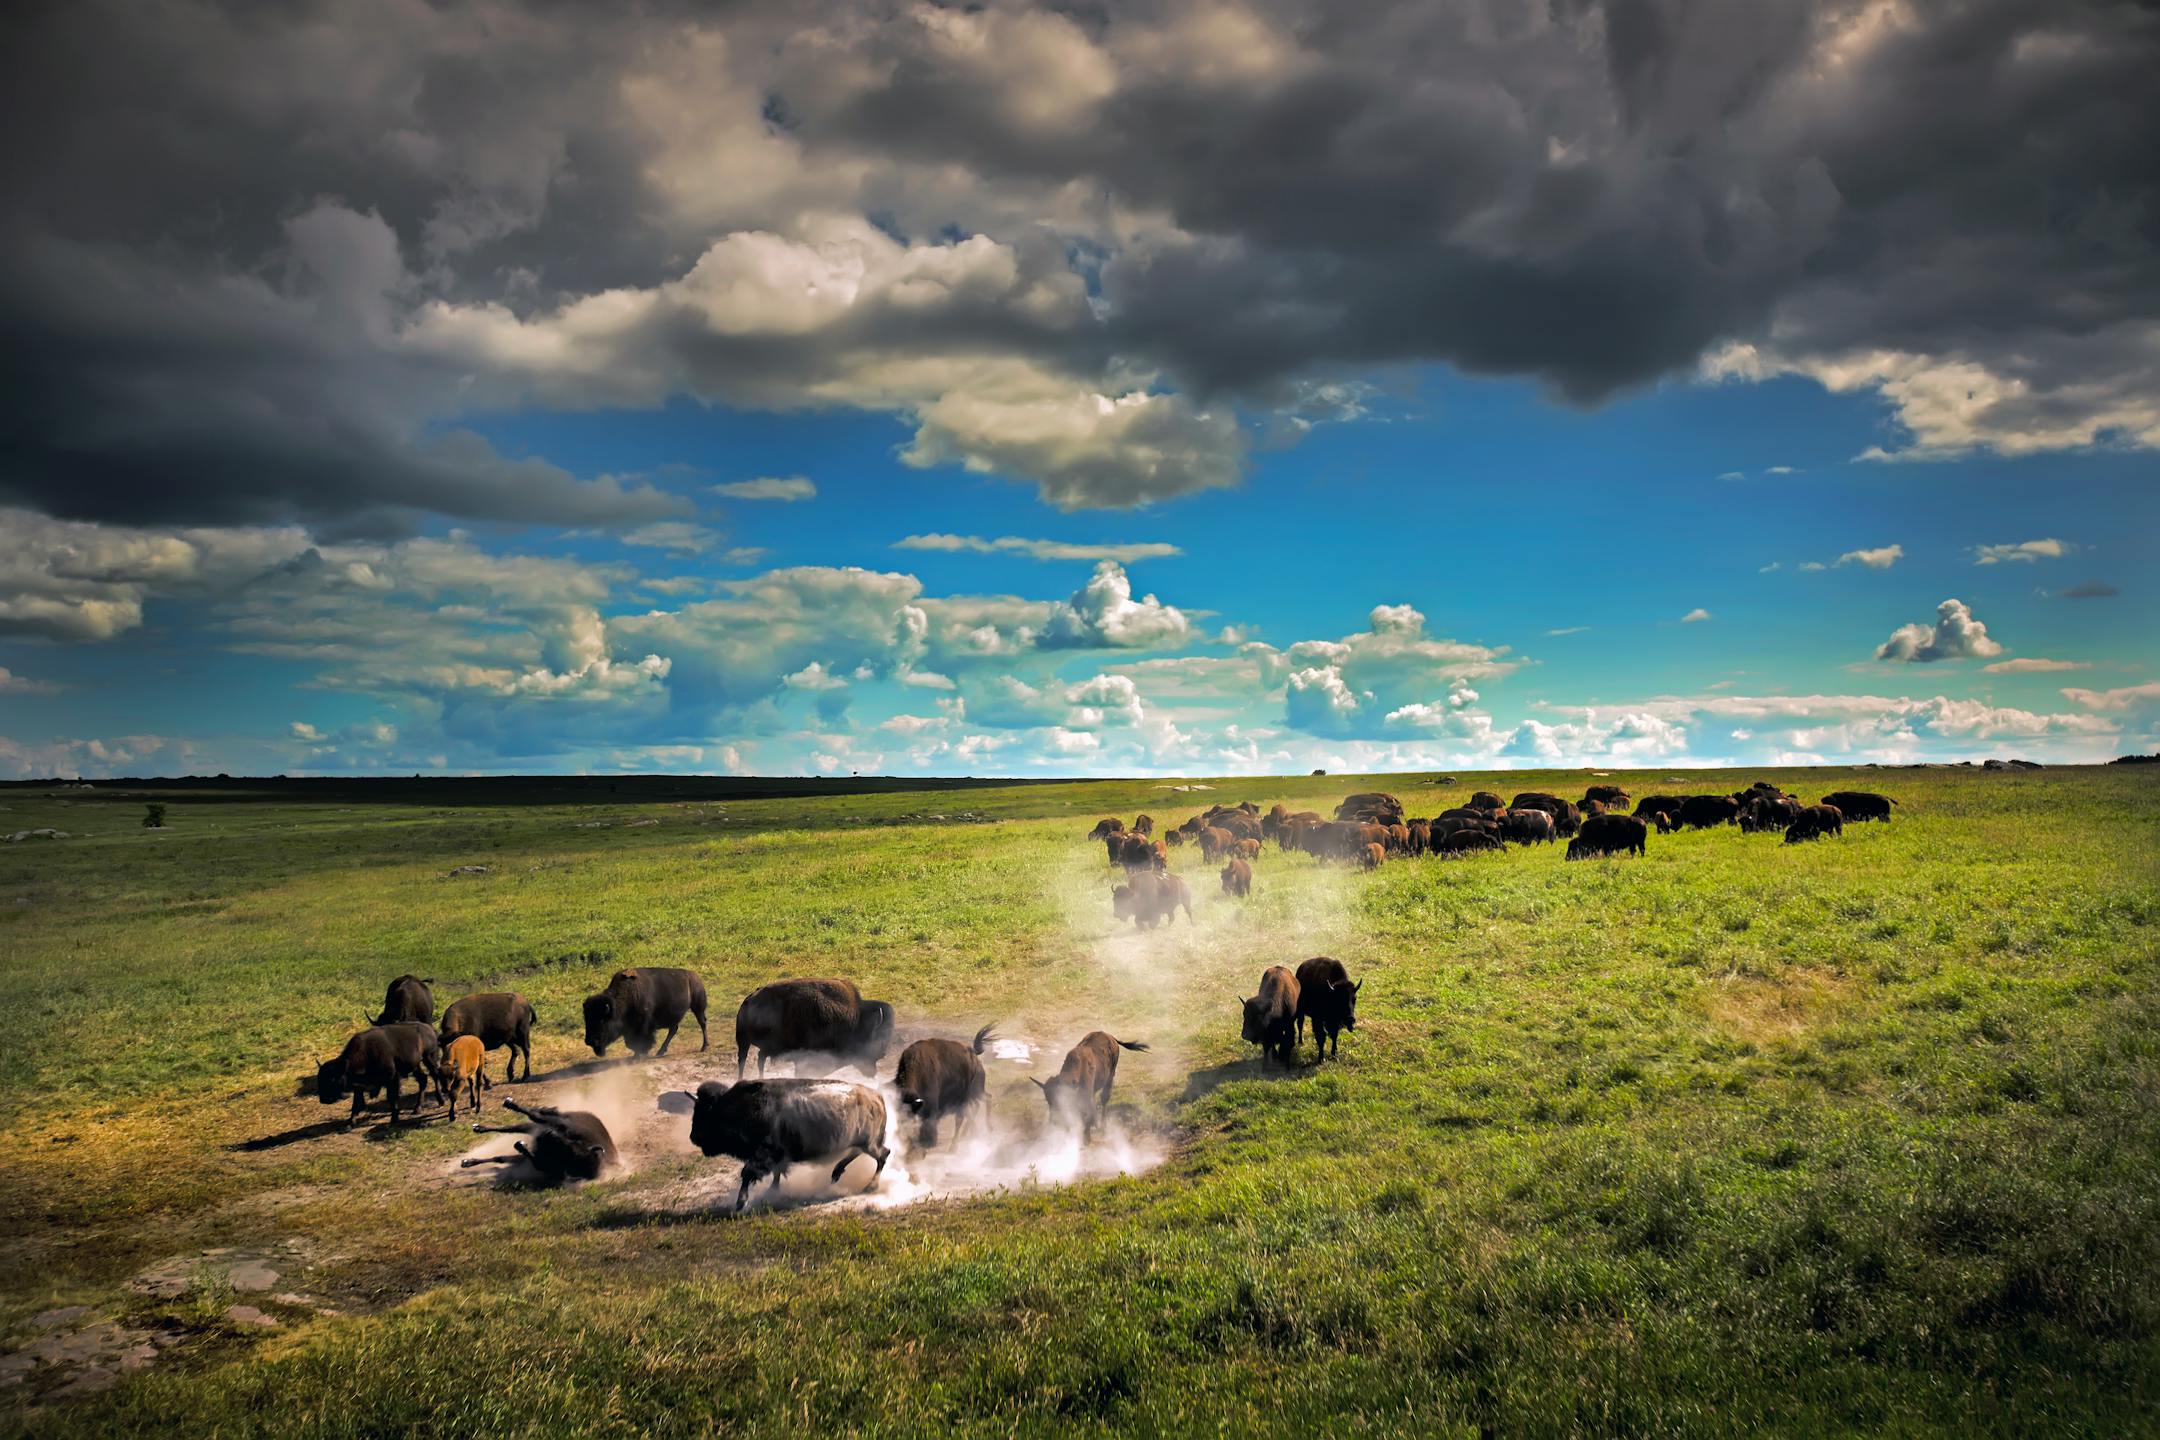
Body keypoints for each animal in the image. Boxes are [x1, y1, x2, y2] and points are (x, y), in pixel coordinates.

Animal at [679, 1079, 890, 1211]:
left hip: (869, 1144)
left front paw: (741, 1204)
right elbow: (776, 1174)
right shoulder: (777, 1157)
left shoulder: (764, 1155)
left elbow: (748, 1174)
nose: (693, 1137)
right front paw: (771, 1193)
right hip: (861, 1142)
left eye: (705, 1113)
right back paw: (836, 1173)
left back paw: (869, 1187)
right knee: (861, 1154)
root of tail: (877, 1097)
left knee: (883, 1155)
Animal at [734, 977, 895, 1077]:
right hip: (743, 1041)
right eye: (875, 1043)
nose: (872, 1072)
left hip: (763, 1046)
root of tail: (749, 999)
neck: (855, 1020)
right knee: (743, 1061)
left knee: (760, 1059)